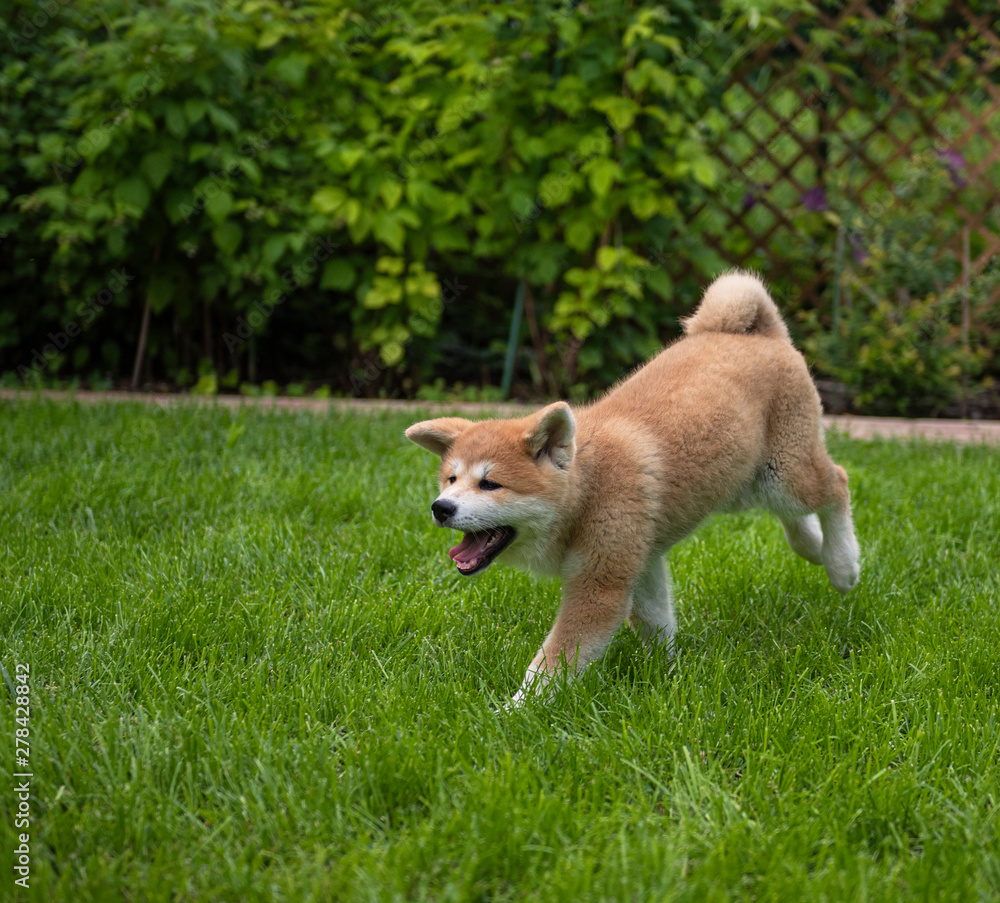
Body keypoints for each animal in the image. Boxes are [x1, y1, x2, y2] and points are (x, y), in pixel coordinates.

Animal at [406, 272, 860, 704]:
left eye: (490, 484)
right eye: (451, 479)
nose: (441, 507)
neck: (587, 489)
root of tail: (758, 334)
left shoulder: (600, 584)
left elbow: (552, 663)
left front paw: (514, 710)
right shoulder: (639, 560)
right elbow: (656, 621)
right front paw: (668, 675)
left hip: (784, 474)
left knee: (837, 483)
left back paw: (842, 564)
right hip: (742, 484)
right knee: (797, 515)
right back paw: (813, 546)